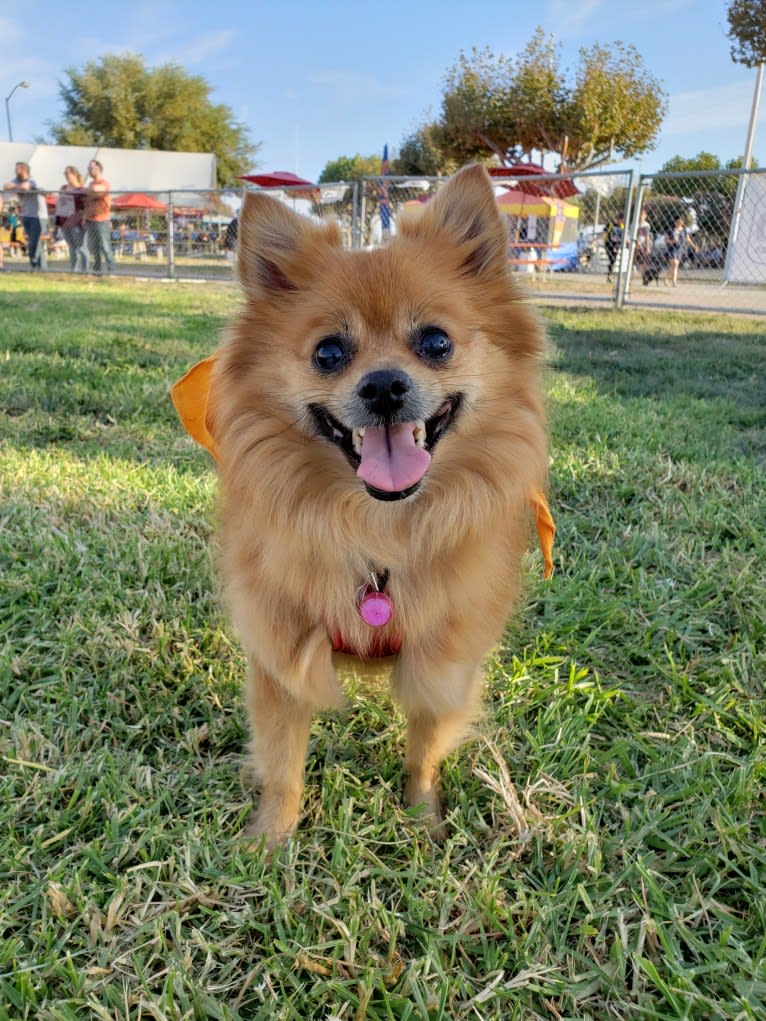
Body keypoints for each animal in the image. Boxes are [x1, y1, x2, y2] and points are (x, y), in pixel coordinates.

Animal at [173, 167, 547, 849]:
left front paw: (422, 820)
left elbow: (426, 748)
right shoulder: (281, 652)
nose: (384, 386)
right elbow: (283, 764)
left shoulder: (444, 656)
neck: (379, 531)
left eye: (436, 342)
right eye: (328, 353)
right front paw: (269, 842)